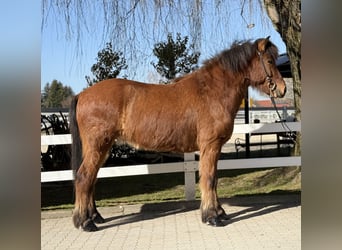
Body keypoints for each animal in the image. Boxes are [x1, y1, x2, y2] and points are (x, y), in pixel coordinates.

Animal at [69, 36, 286, 230]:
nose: (282, 89)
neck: (211, 92)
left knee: (91, 179)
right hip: (99, 145)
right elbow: (209, 179)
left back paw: (94, 217)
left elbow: (214, 179)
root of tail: (82, 94)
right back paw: (85, 222)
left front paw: (219, 212)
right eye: (269, 61)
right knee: (84, 177)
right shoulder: (210, 146)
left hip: (101, 148)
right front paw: (212, 217)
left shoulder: (213, 148)